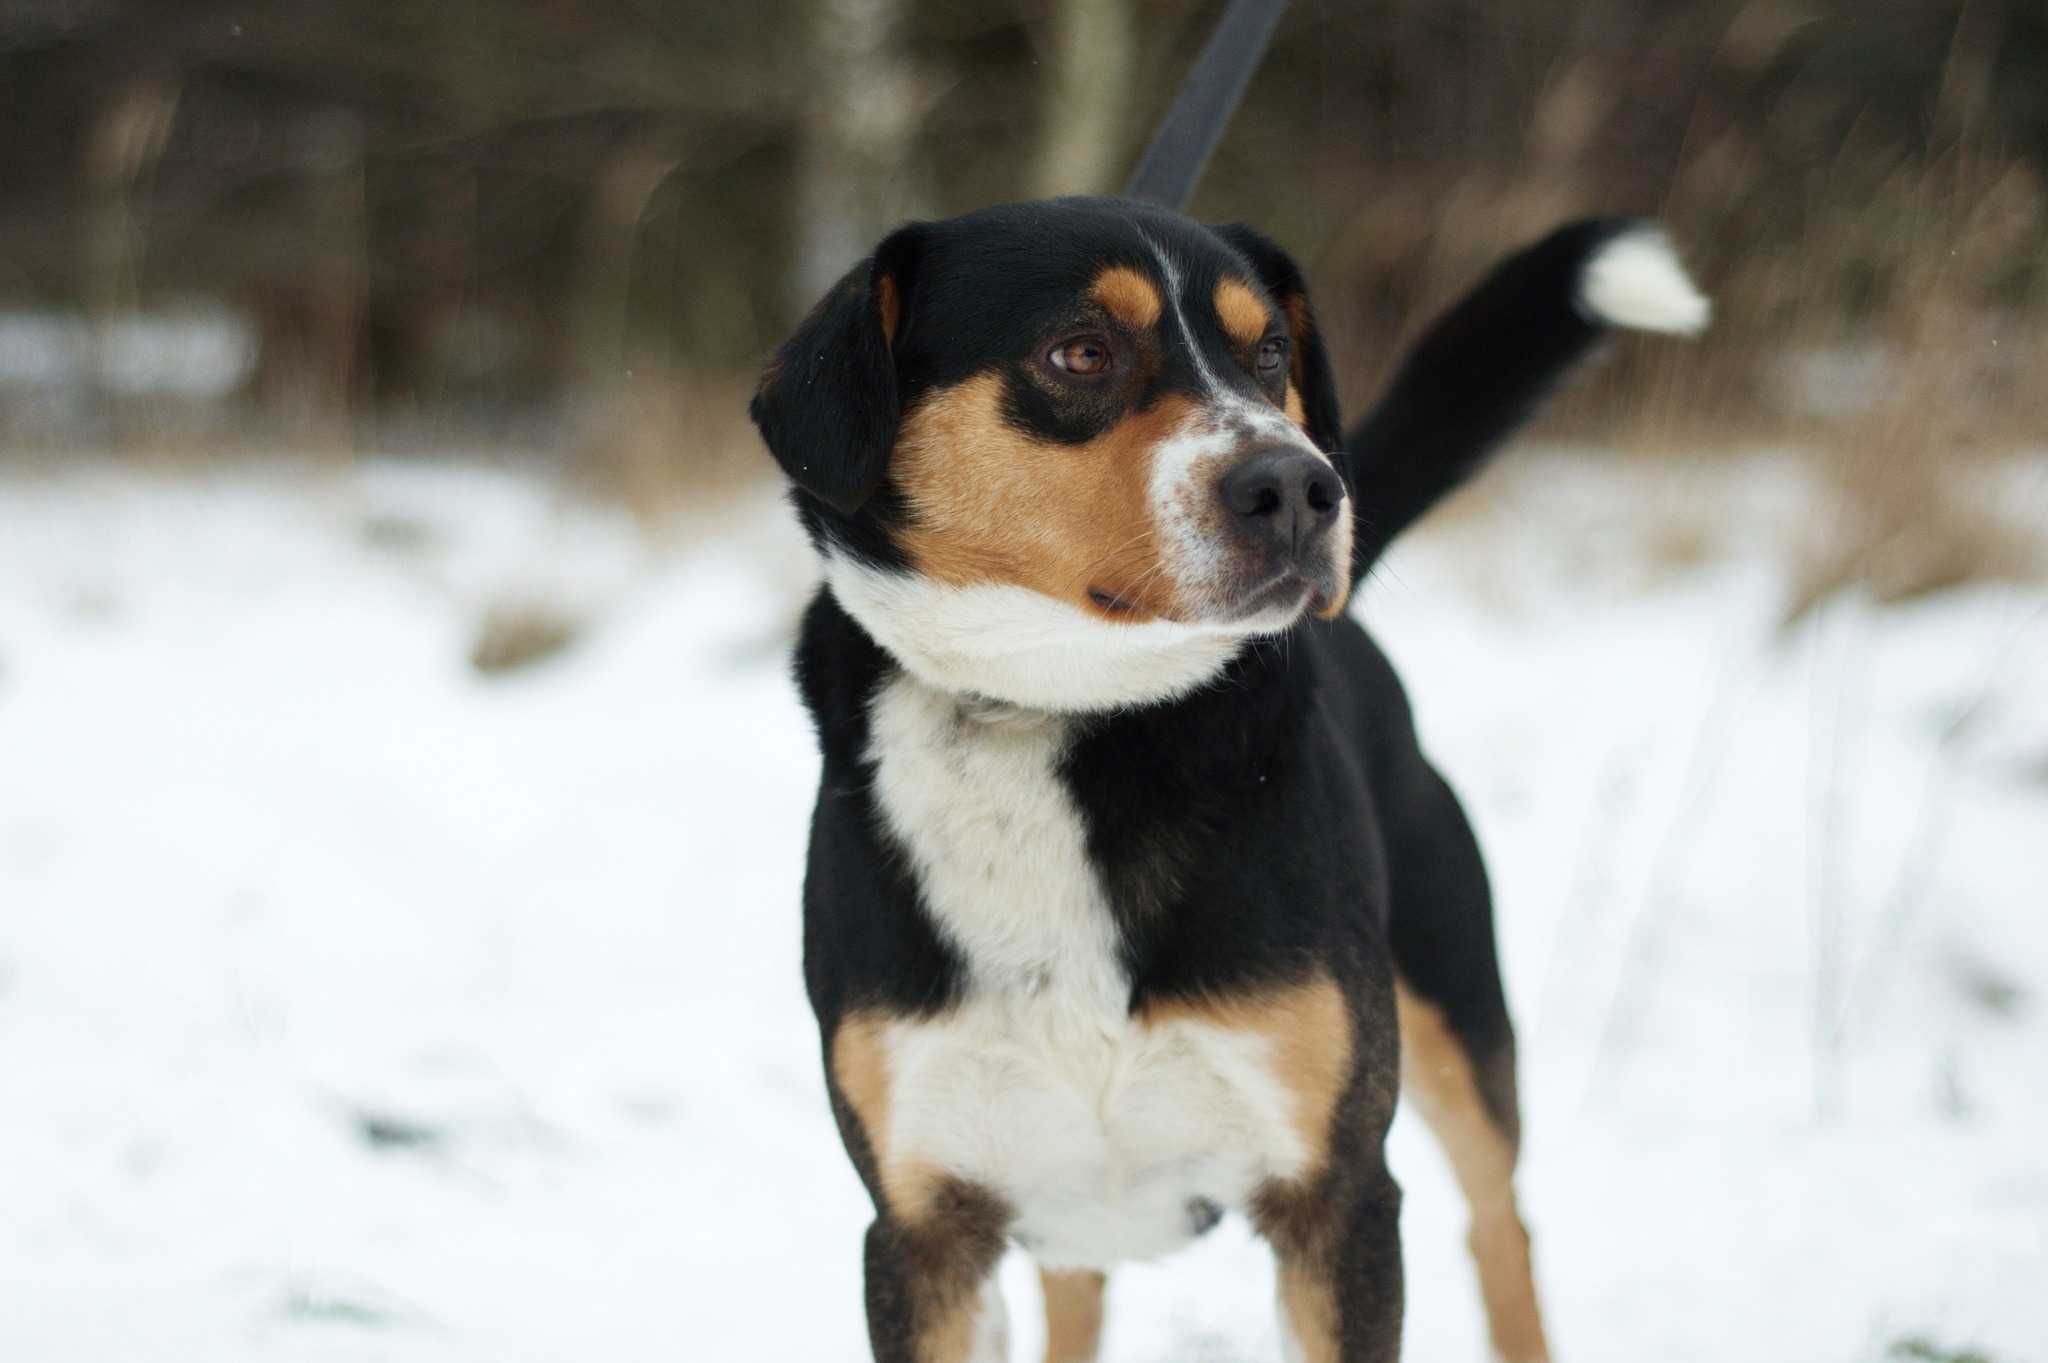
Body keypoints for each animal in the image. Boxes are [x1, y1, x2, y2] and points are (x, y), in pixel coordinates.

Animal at [753, 193, 1712, 1358]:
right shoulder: (922, 1228)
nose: (1300, 487)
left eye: (1267, 355)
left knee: (1500, 1228)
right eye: (1079, 351)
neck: (1058, 716)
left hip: (1456, 1015)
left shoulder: (1336, 1198)